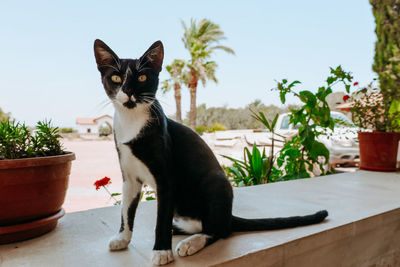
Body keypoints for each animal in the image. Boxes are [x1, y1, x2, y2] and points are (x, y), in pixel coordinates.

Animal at [94, 39, 328, 266]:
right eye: (116, 77)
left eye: (142, 77)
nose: (128, 91)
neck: (132, 122)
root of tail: (228, 215)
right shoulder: (129, 178)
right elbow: (126, 212)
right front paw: (122, 239)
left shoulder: (166, 179)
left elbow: (161, 218)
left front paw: (161, 251)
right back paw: (179, 230)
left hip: (216, 183)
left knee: (220, 230)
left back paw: (191, 242)